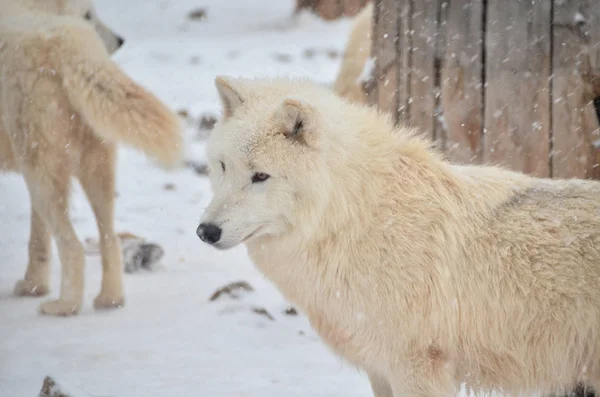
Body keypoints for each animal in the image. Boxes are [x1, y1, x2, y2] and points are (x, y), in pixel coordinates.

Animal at [0, 0, 183, 316]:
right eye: (89, 14)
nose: (120, 41)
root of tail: (69, 46)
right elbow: (38, 237)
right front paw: (32, 286)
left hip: (41, 167)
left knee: (72, 244)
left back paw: (63, 306)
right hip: (92, 162)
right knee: (109, 237)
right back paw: (109, 300)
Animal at [198, 76, 600, 396]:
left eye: (260, 176)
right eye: (223, 167)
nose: (206, 231)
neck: (354, 218)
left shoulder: (415, 365)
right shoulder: (380, 368)